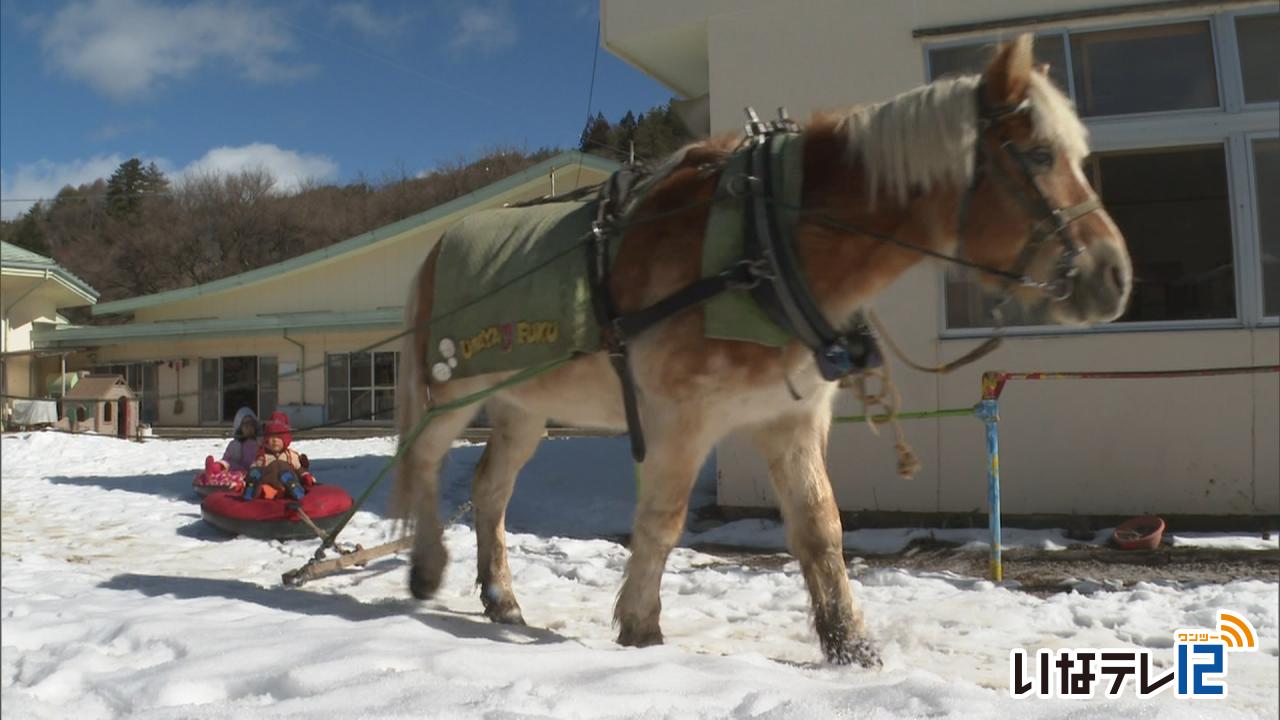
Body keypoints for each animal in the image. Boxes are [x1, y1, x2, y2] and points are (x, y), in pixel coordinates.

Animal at [389, 36, 1131, 666]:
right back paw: (425, 569)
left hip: (521, 407)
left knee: (490, 489)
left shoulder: (790, 421)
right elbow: (662, 521)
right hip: (451, 392)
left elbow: (820, 529)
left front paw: (851, 646)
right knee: (425, 461)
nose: (1114, 276)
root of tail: (433, 251)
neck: (762, 243)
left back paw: (501, 599)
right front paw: (640, 628)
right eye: (1039, 155)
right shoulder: (679, 420)